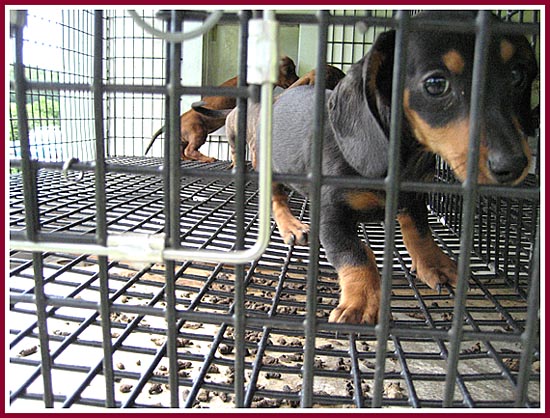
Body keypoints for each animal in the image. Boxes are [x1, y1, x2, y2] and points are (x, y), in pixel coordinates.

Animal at [142, 58, 298, 162]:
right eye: (289, 70)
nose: (298, 78)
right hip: (199, 132)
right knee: (190, 150)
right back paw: (208, 159)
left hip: (185, 137)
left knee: (182, 151)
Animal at [268, 9, 540, 324]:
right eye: (435, 84)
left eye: (517, 75)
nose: (514, 165)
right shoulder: (331, 213)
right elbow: (353, 254)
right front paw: (362, 301)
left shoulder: (415, 196)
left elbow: (420, 231)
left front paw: (434, 264)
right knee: (277, 197)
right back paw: (290, 224)